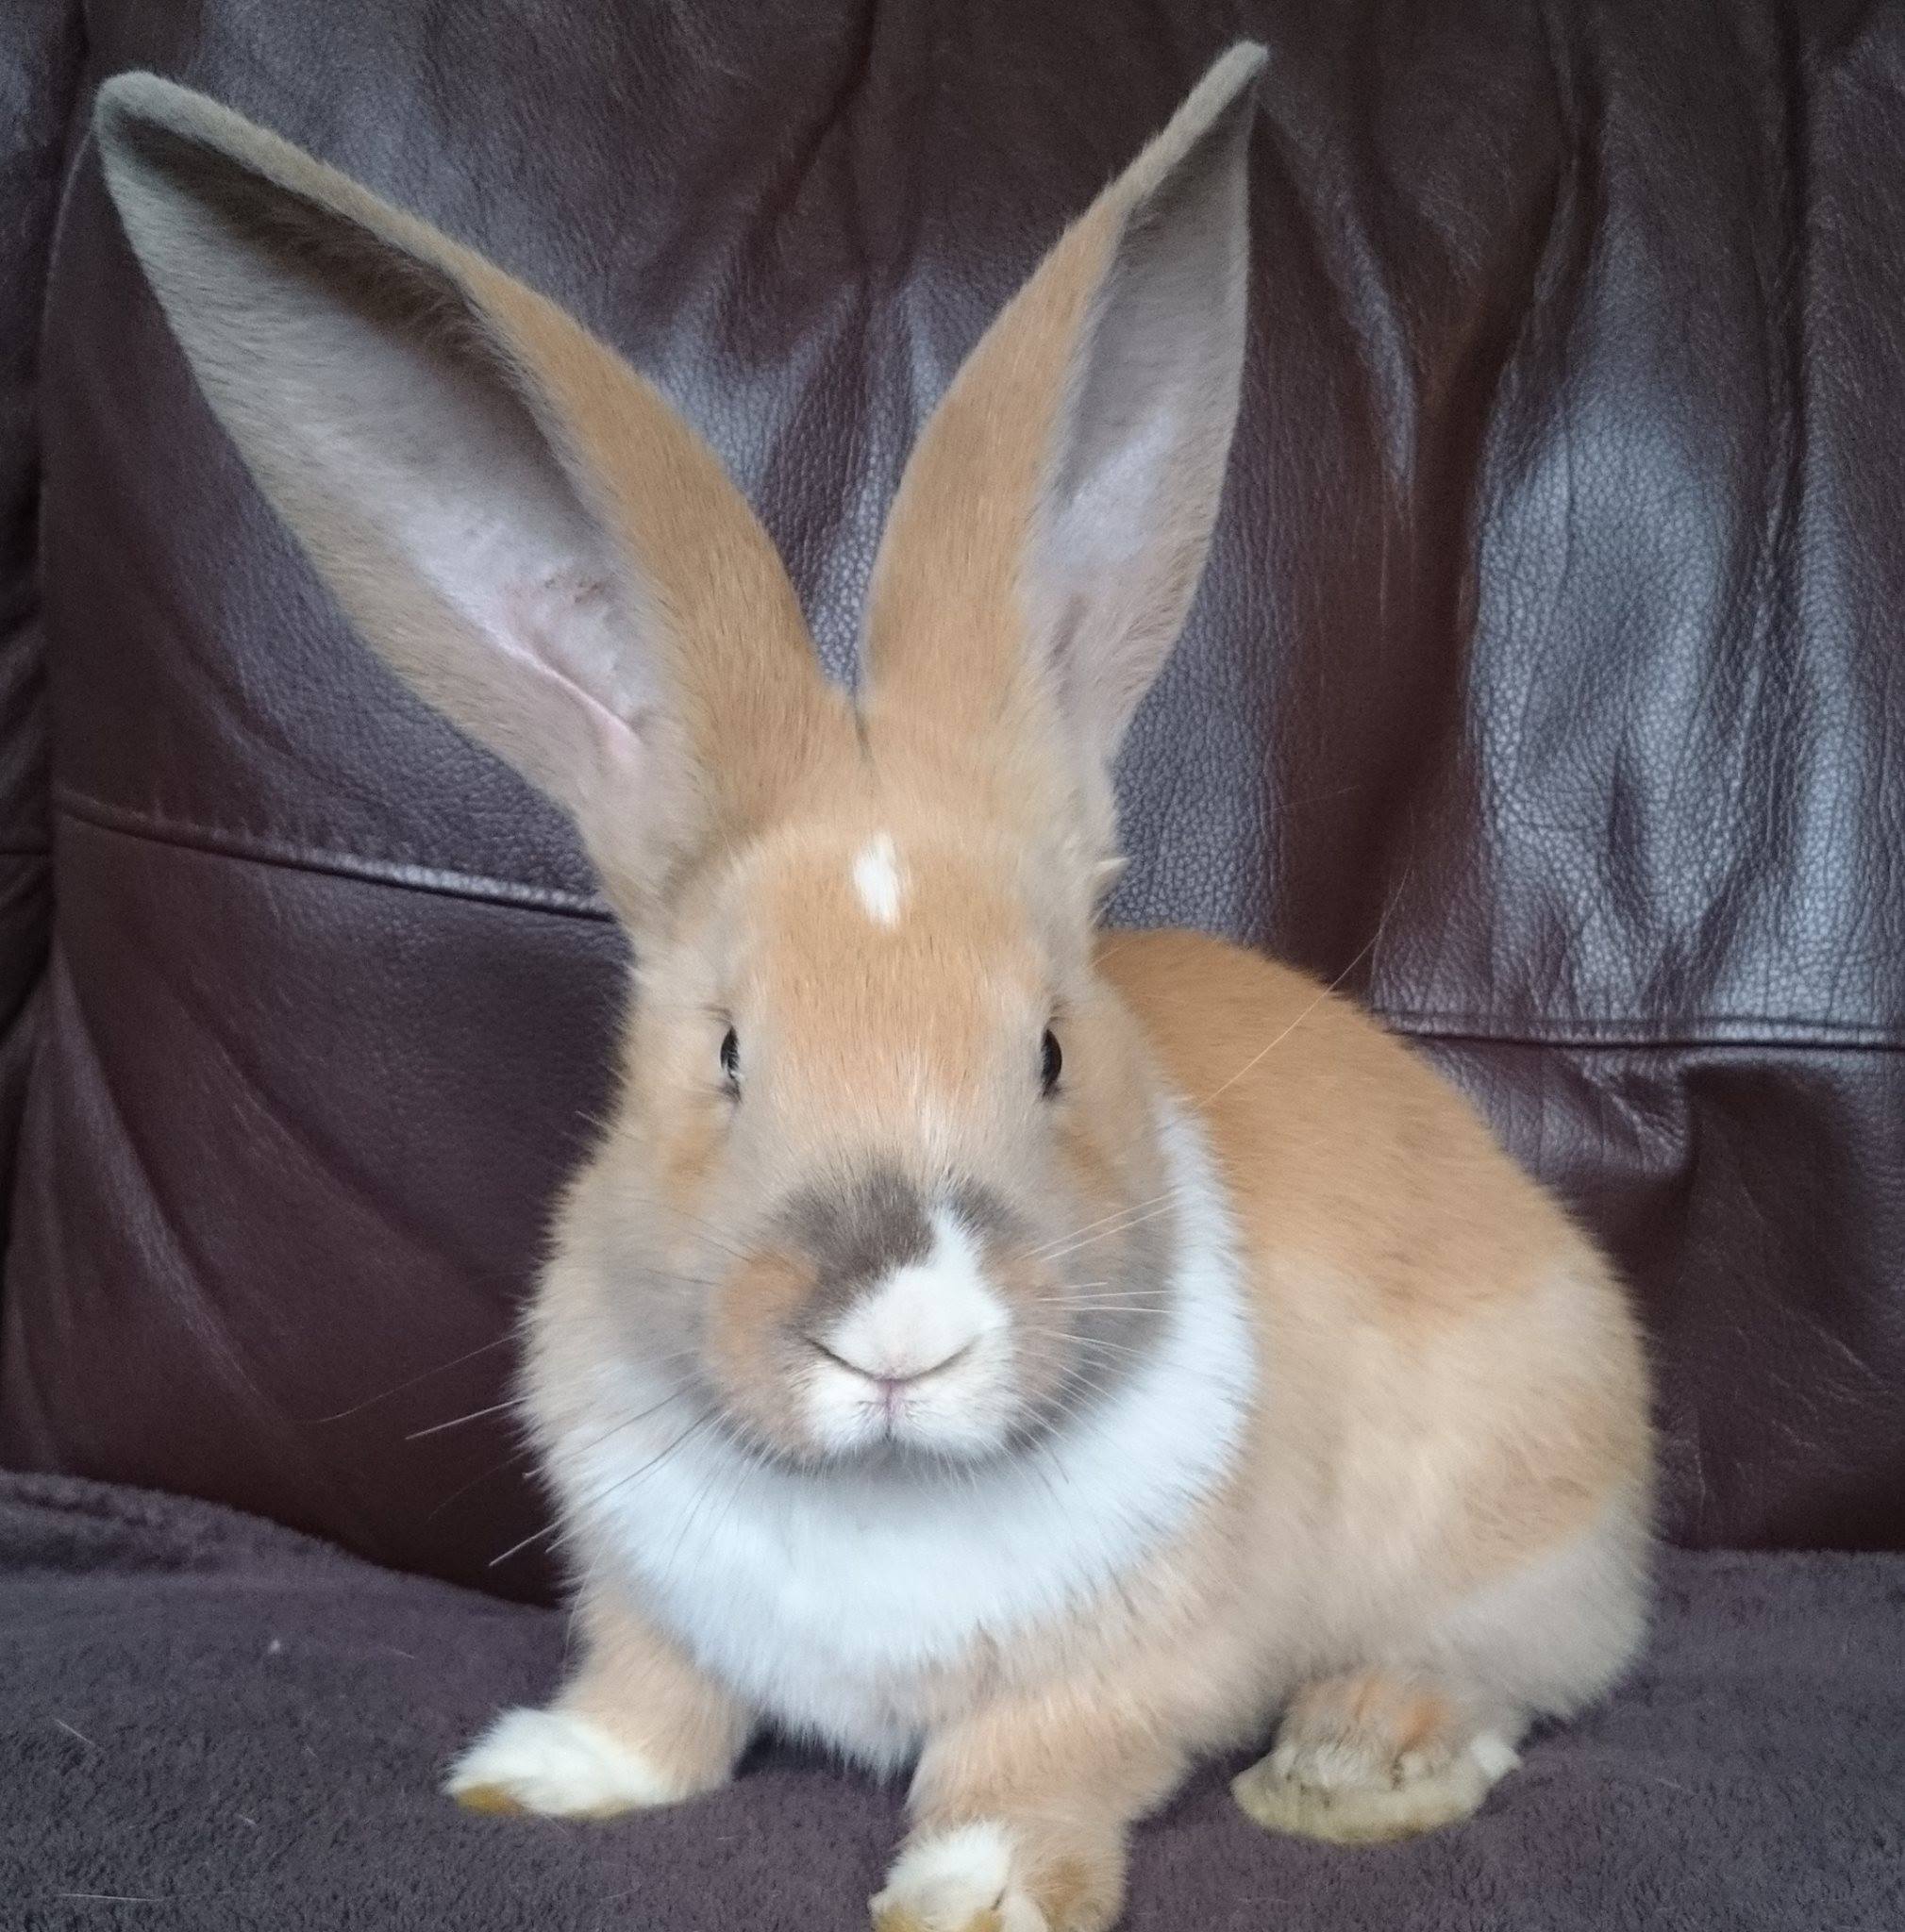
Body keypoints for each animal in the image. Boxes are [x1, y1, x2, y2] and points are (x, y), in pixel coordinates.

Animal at [95, 41, 1654, 1932]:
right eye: (724, 1054)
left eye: (1049, 1047)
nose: (899, 1334)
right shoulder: (639, 1597)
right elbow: (656, 1697)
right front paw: (544, 1775)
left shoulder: (1123, 1679)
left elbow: (1031, 1764)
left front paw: (970, 1894)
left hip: (1517, 1516)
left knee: (1511, 1672)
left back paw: (1351, 1766)